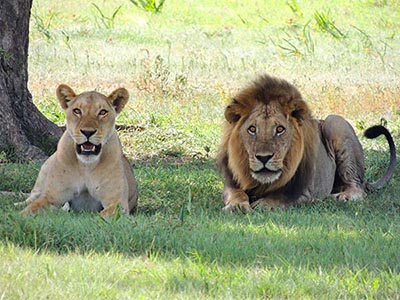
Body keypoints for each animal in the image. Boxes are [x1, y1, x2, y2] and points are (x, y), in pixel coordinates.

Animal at [18, 84, 138, 216]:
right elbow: (30, 209)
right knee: (32, 196)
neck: (86, 166)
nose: (87, 132)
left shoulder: (117, 202)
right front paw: (18, 216)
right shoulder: (51, 197)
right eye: (77, 111)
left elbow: (103, 215)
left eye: (102, 112)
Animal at [219, 74, 396, 212]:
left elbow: (283, 197)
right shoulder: (231, 184)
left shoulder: (306, 191)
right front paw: (237, 206)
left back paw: (340, 197)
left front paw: (264, 204)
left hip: (335, 122)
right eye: (252, 129)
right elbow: (236, 194)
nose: (264, 157)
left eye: (280, 129)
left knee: (358, 188)